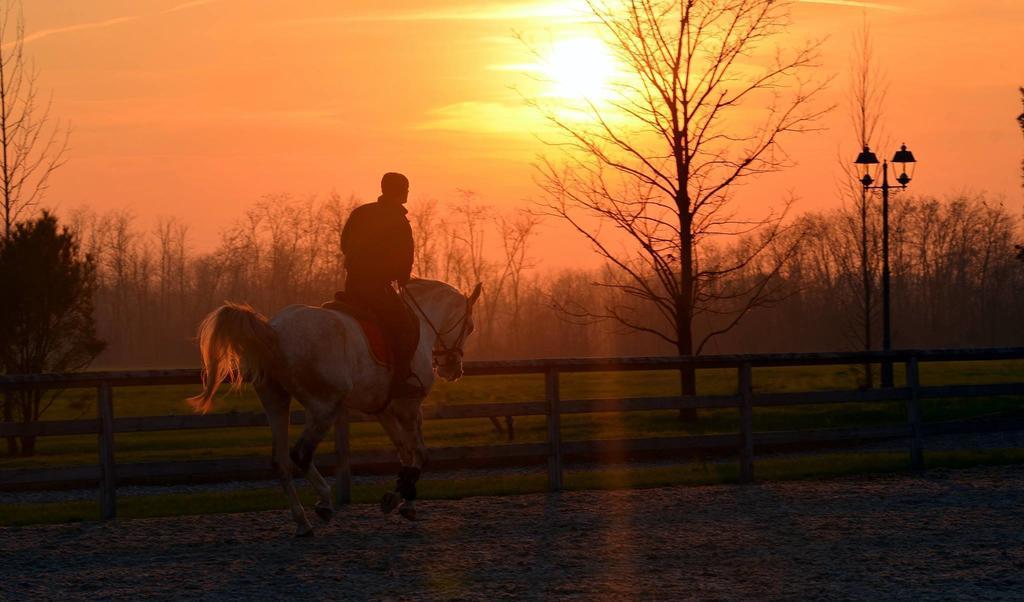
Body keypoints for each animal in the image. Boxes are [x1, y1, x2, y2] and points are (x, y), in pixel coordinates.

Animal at [189, 278, 483, 536]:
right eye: (469, 326)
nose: (453, 369)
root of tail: (274, 331)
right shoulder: (408, 407)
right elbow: (421, 453)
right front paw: (405, 501)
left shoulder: (384, 410)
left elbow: (405, 451)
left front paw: (397, 495)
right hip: (324, 408)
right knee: (300, 454)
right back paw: (324, 503)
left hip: (276, 402)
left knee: (281, 461)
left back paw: (303, 522)